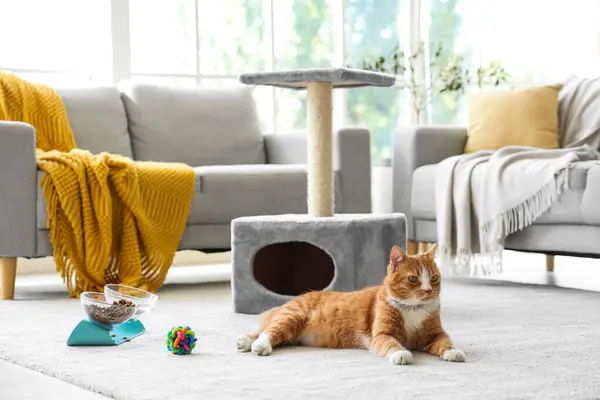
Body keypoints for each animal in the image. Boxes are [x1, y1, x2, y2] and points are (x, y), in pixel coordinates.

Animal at [237, 242, 466, 364]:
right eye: (412, 279)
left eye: (434, 278)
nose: (428, 290)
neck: (413, 310)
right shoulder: (381, 335)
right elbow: (392, 343)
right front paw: (401, 353)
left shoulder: (436, 333)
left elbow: (444, 341)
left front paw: (452, 351)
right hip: (292, 317)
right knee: (268, 331)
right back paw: (258, 345)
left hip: (291, 331)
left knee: (265, 330)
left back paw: (245, 341)